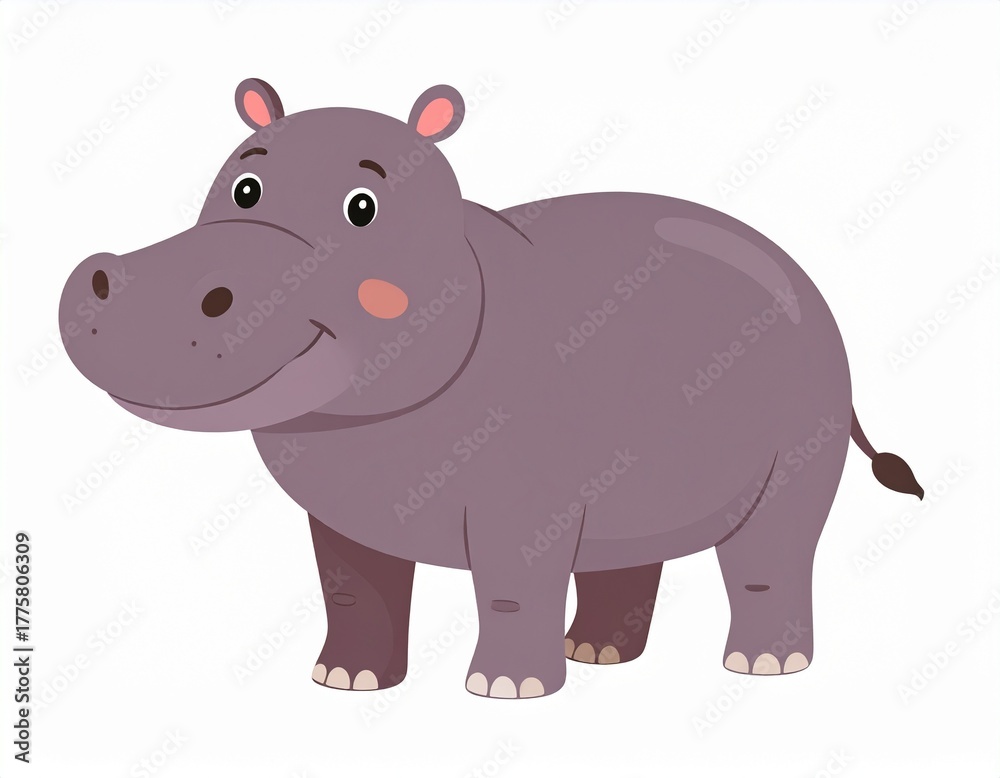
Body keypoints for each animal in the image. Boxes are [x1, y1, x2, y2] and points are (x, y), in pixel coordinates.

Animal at [59, 79, 923, 700]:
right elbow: (354, 591)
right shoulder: (345, 514)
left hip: (795, 465)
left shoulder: (525, 503)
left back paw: (761, 668)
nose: (106, 273)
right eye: (242, 187)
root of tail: (810, 284)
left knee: (772, 560)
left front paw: (506, 690)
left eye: (363, 206)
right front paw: (345, 682)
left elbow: (510, 588)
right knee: (628, 561)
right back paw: (598, 654)